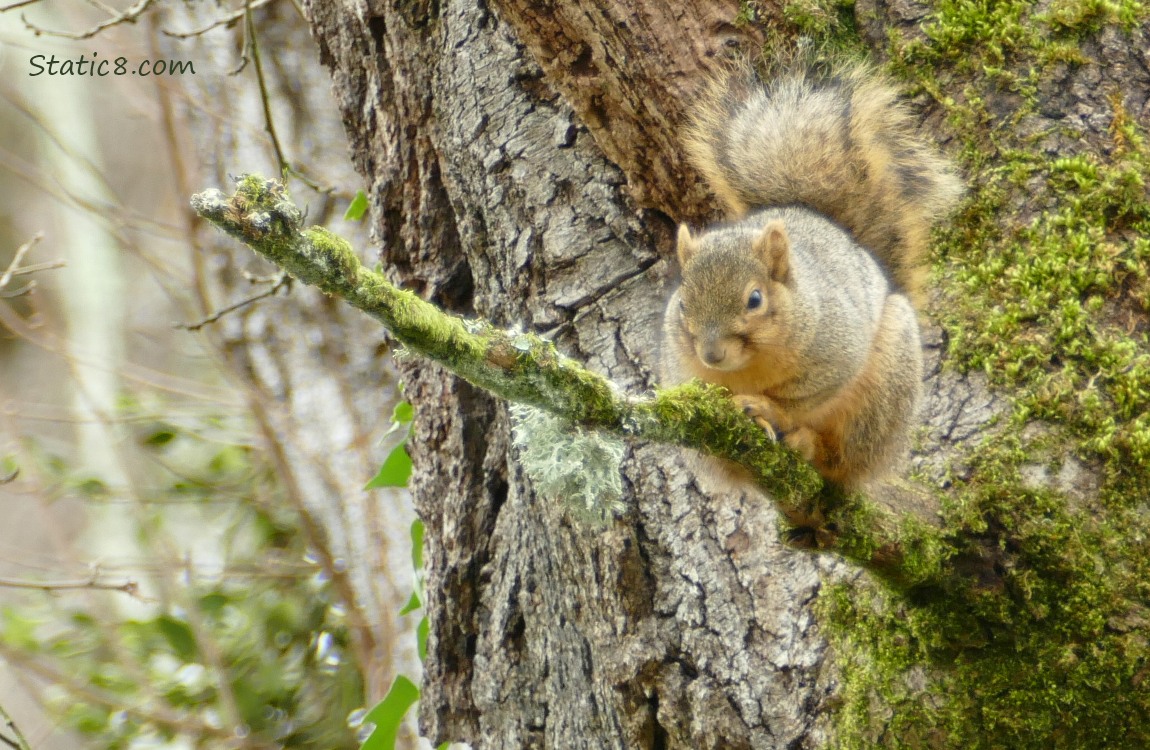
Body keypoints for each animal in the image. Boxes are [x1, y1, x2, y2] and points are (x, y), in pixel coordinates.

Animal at [661, 60, 962, 488]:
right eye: (683, 304)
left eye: (755, 299)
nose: (712, 354)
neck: (750, 366)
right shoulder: (680, 370)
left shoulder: (837, 347)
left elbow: (805, 395)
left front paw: (768, 409)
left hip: (884, 389)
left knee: (839, 461)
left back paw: (807, 445)